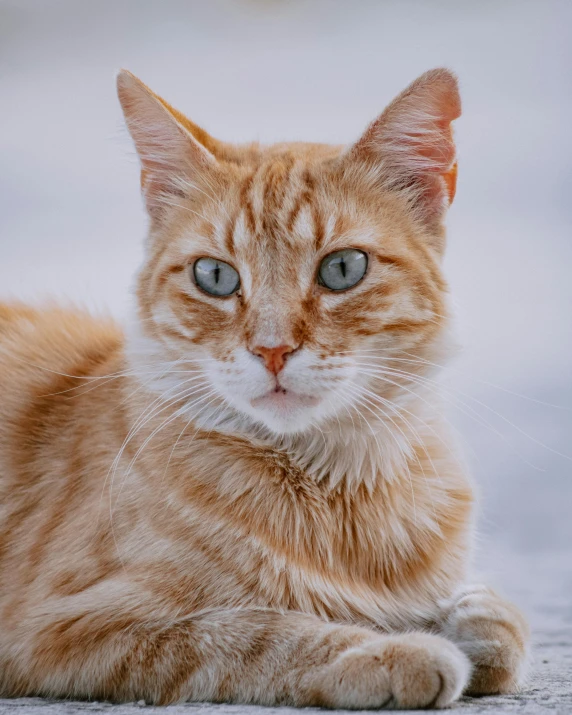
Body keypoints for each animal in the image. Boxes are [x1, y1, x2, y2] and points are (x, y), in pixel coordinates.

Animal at [0, 70, 528, 708]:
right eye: (214, 276)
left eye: (343, 269)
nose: (272, 350)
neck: (337, 484)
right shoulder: (65, 629)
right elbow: (255, 632)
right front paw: (390, 650)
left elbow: (502, 628)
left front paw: (467, 618)